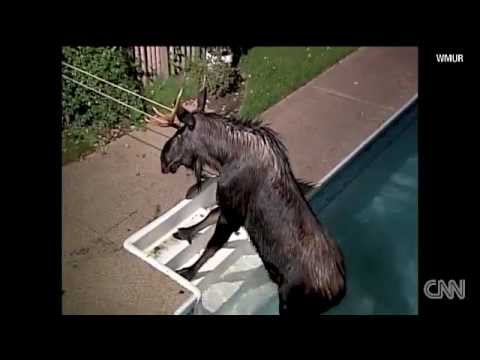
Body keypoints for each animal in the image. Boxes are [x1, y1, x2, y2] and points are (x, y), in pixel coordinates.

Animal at [153, 86, 344, 314]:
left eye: (180, 133)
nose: (163, 160)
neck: (222, 156)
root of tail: (338, 292)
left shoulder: (233, 207)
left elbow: (212, 245)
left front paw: (189, 271)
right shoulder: (231, 206)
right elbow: (209, 215)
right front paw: (184, 232)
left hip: (288, 301)